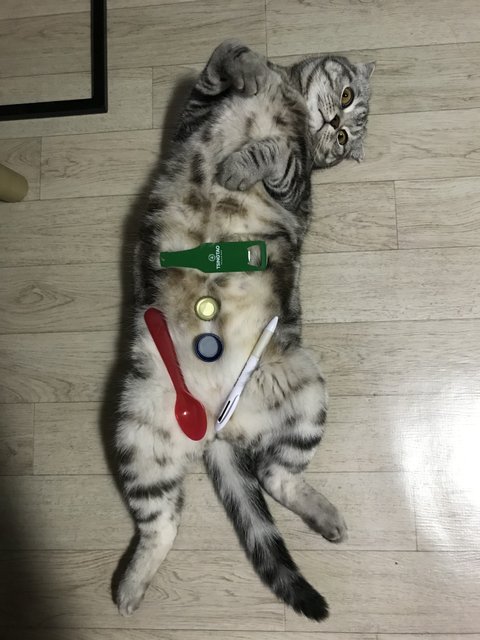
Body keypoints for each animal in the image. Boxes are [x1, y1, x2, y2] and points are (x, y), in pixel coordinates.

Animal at [114, 40, 373, 621]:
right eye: (346, 98)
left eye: (343, 140)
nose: (333, 123)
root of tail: (216, 427)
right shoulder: (196, 108)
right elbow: (229, 52)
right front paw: (256, 71)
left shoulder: (295, 188)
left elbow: (276, 155)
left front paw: (239, 164)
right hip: (139, 432)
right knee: (165, 522)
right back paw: (132, 584)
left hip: (306, 394)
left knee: (275, 479)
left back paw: (327, 517)